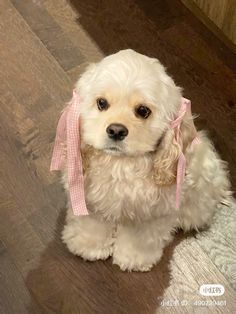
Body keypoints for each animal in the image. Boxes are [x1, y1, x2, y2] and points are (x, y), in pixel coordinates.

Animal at [60, 50, 230, 272]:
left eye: (142, 111)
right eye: (101, 103)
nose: (116, 130)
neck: (121, 163)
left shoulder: (153, 213)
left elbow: (140, 238)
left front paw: (134, 259)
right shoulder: (90, 198)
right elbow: (91, 224)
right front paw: (87, 245)